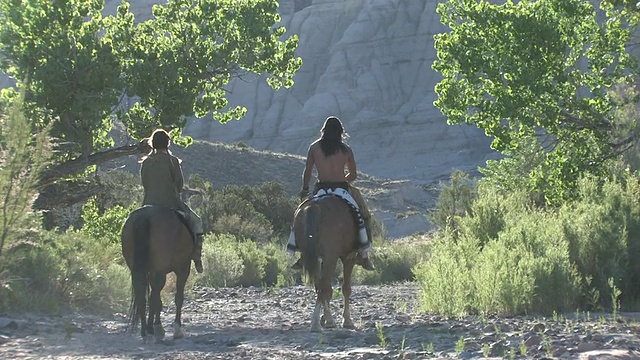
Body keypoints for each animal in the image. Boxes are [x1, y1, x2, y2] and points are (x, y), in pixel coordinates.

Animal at [120, 205, 192, 340]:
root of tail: (144, 216)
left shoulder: (151, 272)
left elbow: (152, 296)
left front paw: (150, 327)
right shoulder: (183, 269)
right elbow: (178, 298)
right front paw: (177, 329)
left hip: (137, 270)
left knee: (142, 299)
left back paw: (145, 331)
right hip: (161, 270)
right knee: (156, 299)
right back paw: (158, 328)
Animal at [292, 194, 358, 332]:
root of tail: (314, 206)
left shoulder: (321, 259)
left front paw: (327, 319)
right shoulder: (348, 257)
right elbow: (346, 288)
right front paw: (347, 320)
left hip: (314, 257)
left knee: (321, 286)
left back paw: (322, 320)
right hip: (331, 257)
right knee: (324, 286)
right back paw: (316, 323)